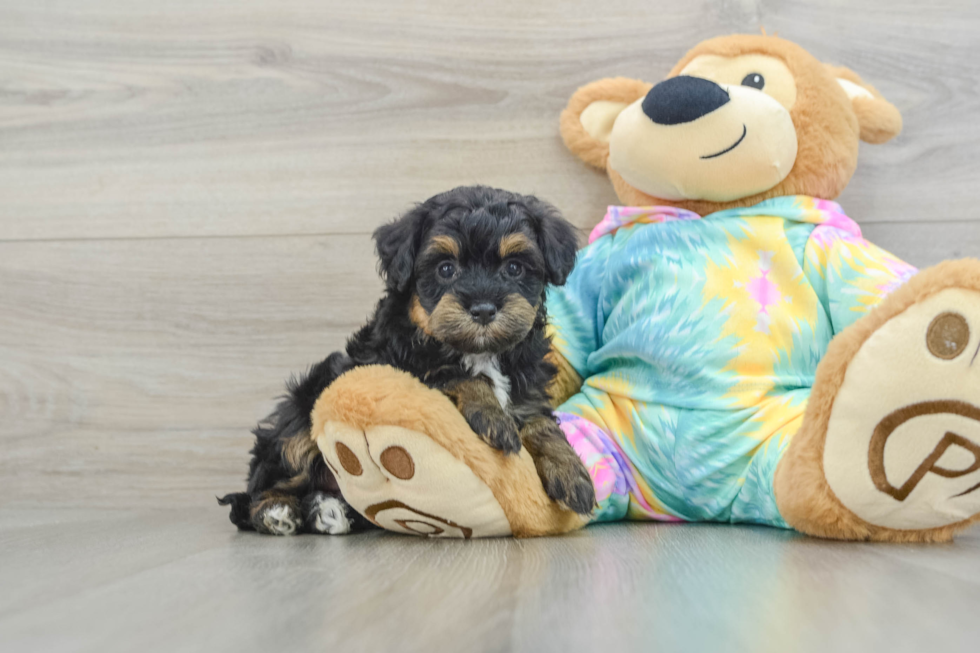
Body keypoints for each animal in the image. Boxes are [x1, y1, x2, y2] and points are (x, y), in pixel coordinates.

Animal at [218, 186, 592, 532]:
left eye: (514, 267)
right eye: (446, 268)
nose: (484, 309)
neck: (479, 352)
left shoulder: (529, 394)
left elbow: (542, 423)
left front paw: (572, 472)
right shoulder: (400, 368)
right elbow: (455, 375)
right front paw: (493, 418)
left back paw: (329, 510)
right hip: (300, 419)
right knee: (262, 486)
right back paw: (277, 512)